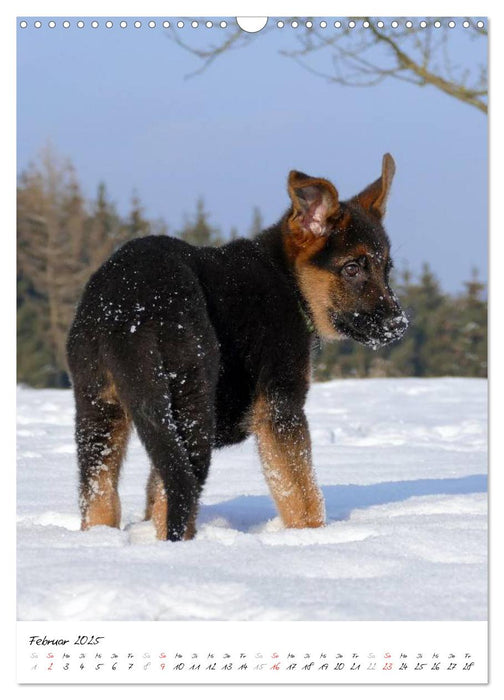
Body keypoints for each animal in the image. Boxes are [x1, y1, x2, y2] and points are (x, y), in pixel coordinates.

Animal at [67, 154, 408, 540]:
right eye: (352, 269)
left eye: (386, 269)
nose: (399, 325)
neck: (289, 281)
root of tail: (128, 304)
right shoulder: (280, 407)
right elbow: (303, 494)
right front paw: (313, 538)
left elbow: (152, 491)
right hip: (191, 404)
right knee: (178, 496)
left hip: (101, 408)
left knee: (102, 496)